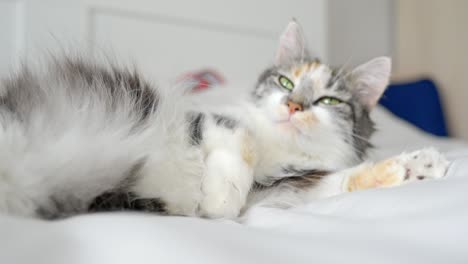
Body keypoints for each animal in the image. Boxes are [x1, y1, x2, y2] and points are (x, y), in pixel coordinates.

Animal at [0, 20, 448, 220]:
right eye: (286, 82)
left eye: (326, 99)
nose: (293, 106)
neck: (279, 147)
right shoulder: (209, 119)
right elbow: (242, 140)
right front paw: (220, 198)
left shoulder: (285, 189)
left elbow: (343, 182)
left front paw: (421, 165)